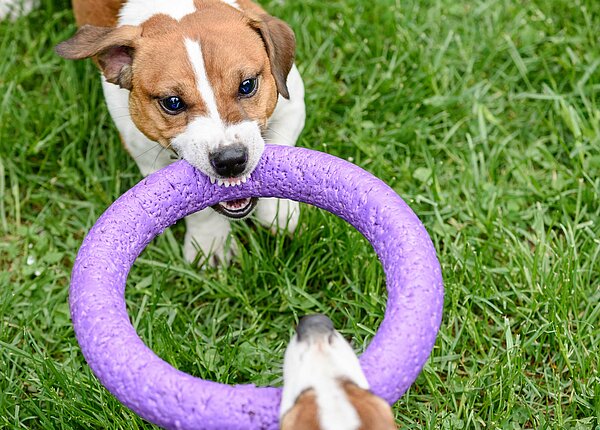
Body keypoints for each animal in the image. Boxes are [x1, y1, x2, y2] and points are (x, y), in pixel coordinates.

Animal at [54, 0, 308, 266]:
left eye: (247, 85)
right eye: (173, 102)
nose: (230, 160)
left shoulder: (292, 106)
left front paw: (280, 212)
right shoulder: (146, 156)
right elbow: (199, 207)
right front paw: (210, 242)